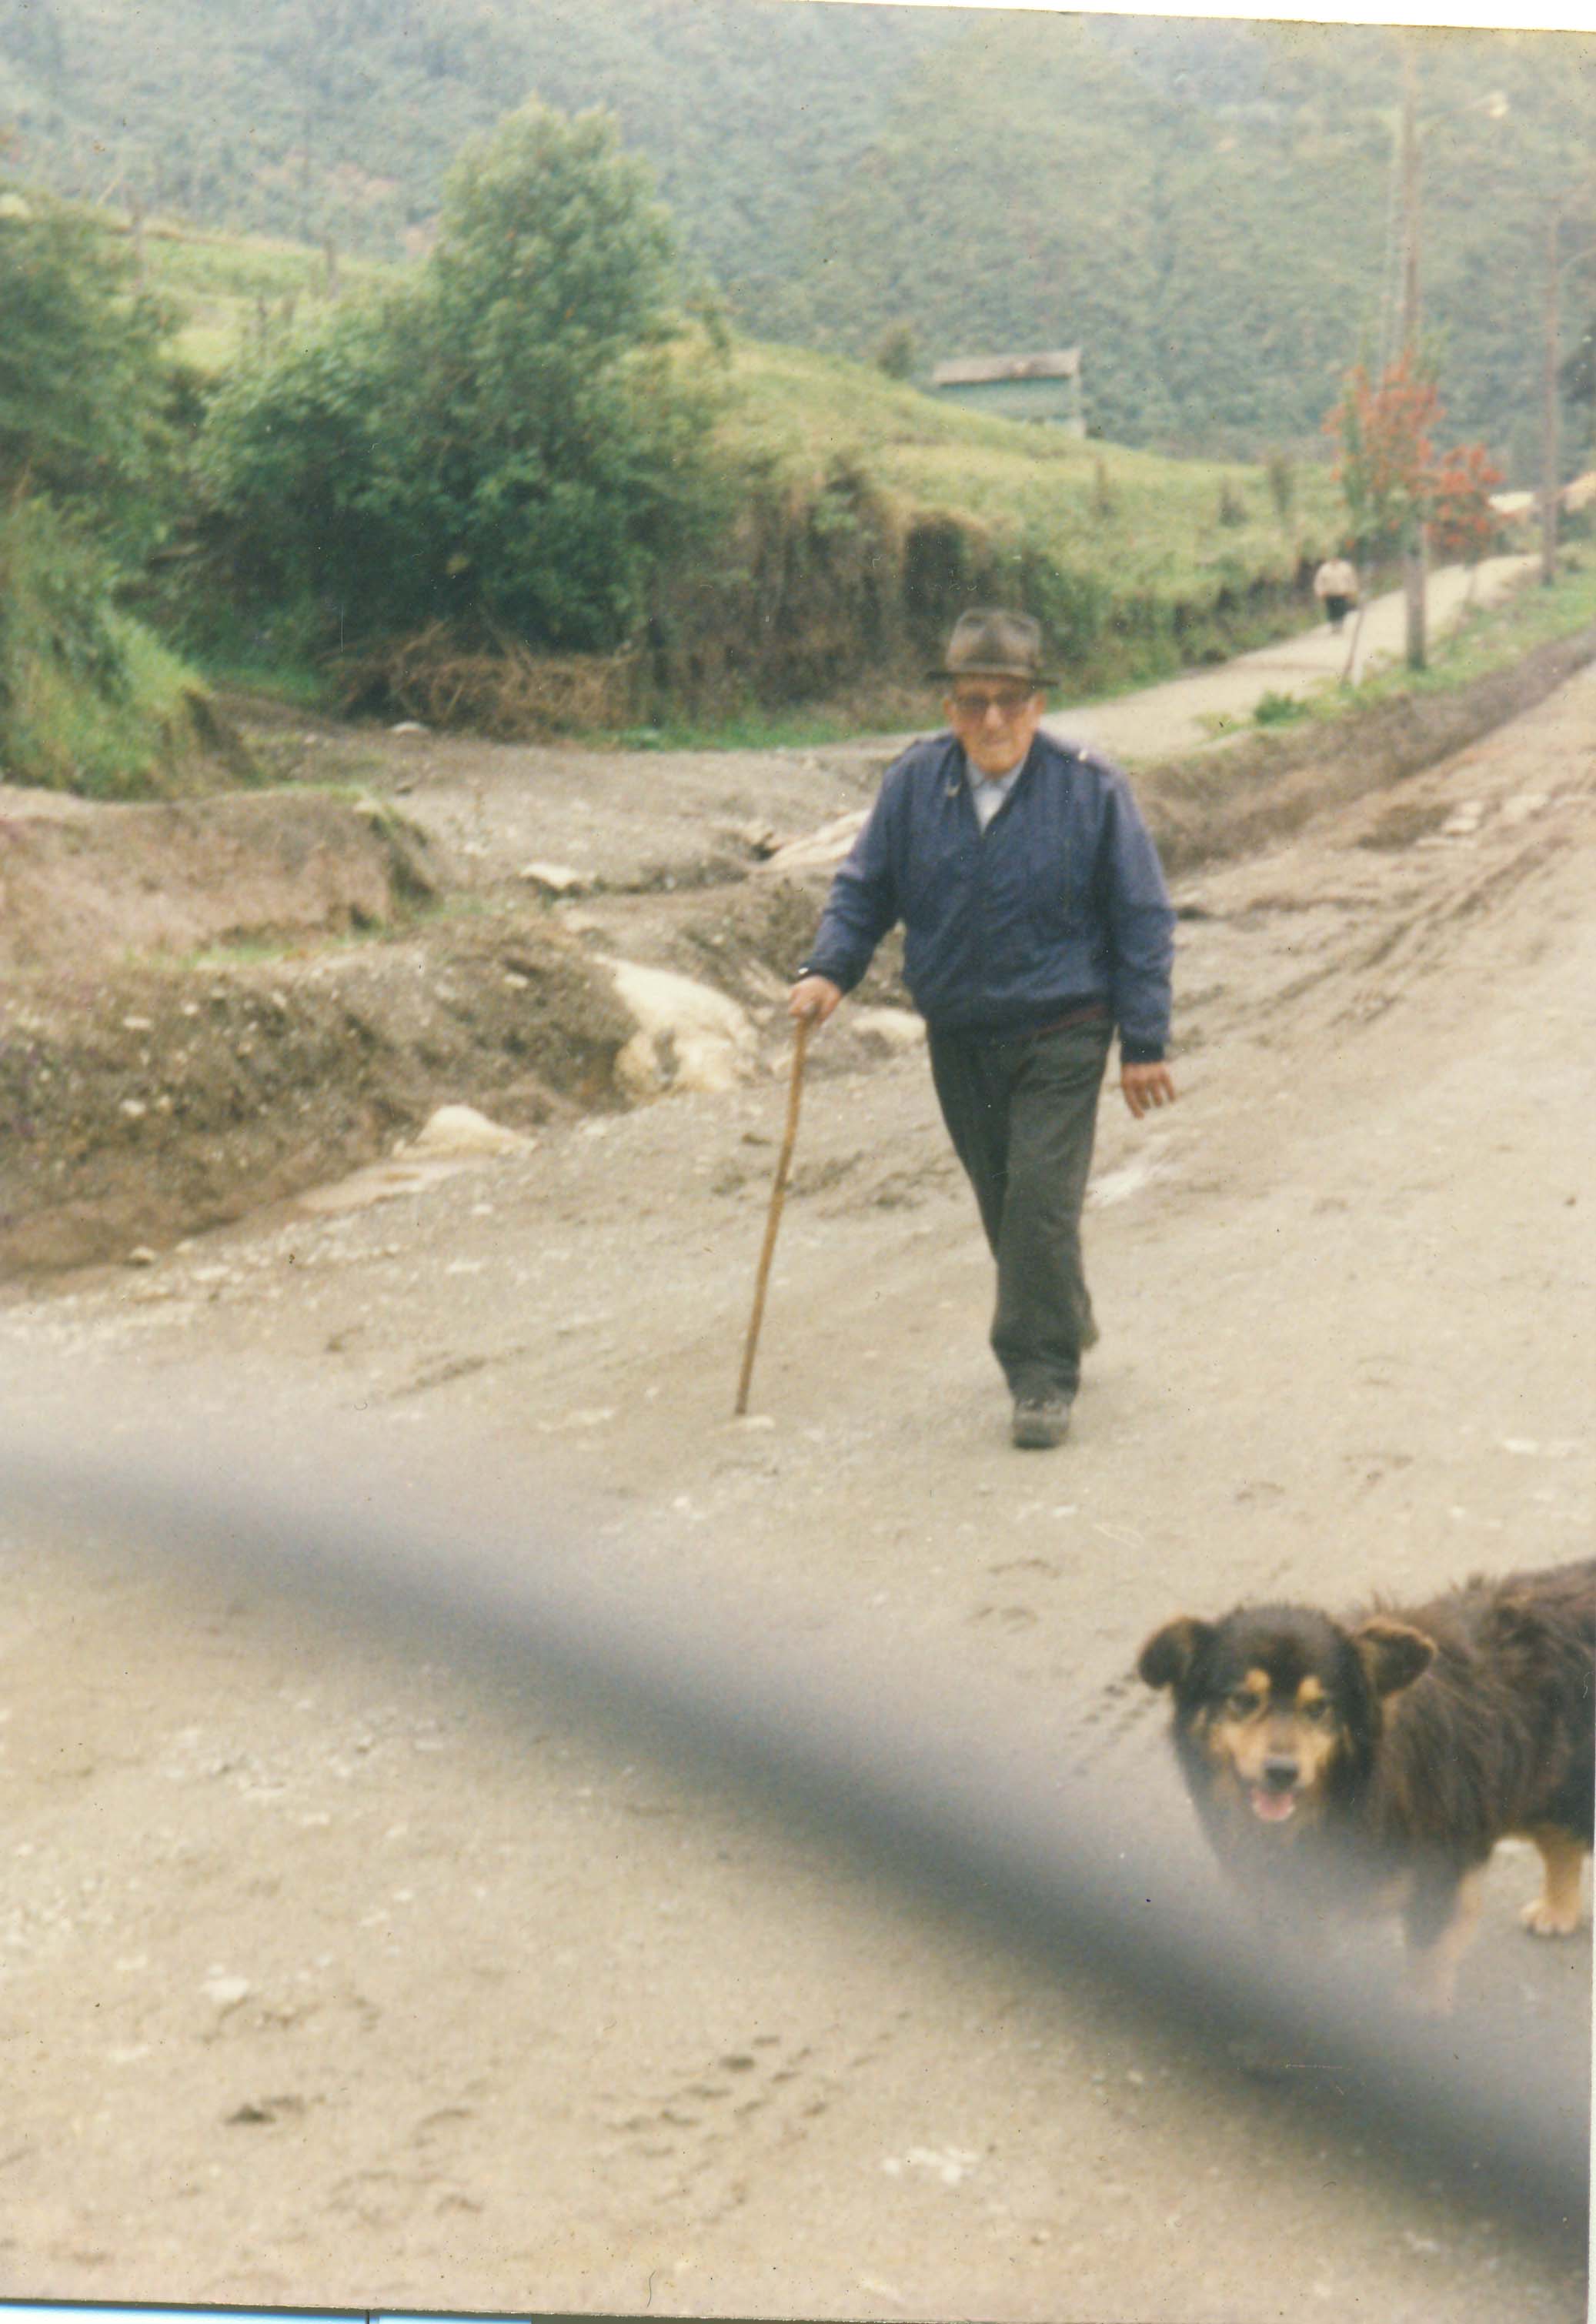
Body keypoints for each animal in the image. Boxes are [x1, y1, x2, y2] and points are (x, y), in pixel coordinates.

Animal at [1143, 1561, 1588, 2017]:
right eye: (1243, 1700)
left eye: (1318, 1708)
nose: (1282, 1772)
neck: (1342, 1800)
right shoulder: (1284, 1900)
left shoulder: (1439, 1881)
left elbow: (1425, 1967)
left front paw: (1417, 2014)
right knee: (1562, 1842)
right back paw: (1558, 1911)